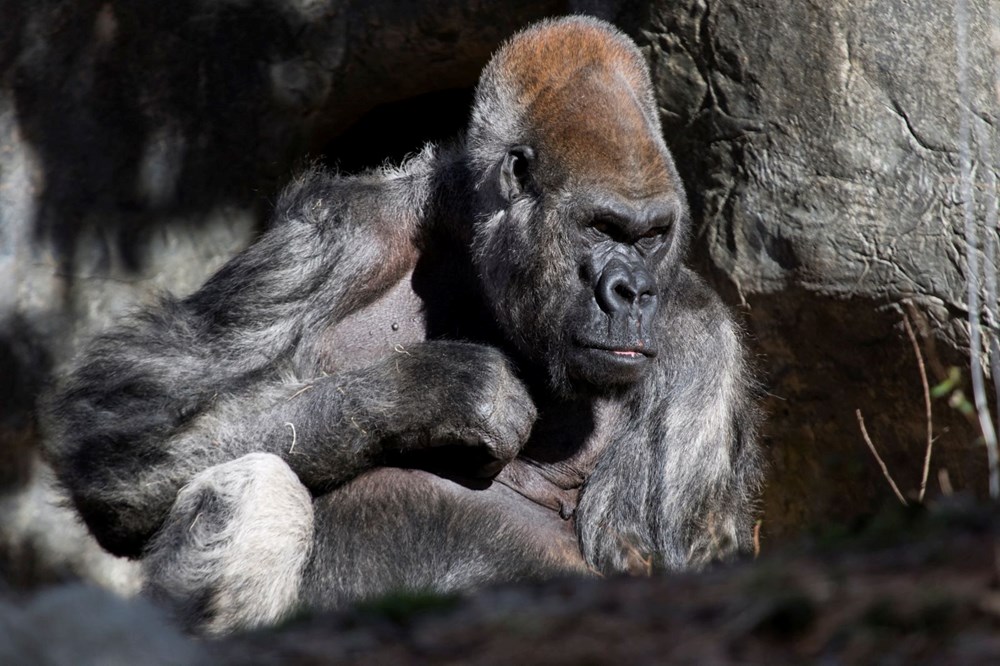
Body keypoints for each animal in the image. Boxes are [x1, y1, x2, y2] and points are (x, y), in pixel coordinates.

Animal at [37, 16, 756, 632]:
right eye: (601, 228)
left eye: (652, 235)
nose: (633, 292)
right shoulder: (332, 236)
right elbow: (127, 434)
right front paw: (442, 389)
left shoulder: (697, 337)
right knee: (257, 482)